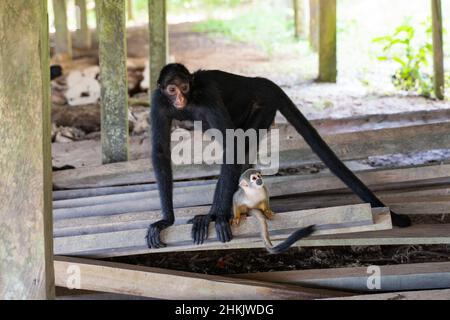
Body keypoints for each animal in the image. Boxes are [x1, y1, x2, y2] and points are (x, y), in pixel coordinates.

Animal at [147, 62, 412, 248]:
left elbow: (232, 147)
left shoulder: (208, 96)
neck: (190, 101)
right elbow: (160, 152)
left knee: (239, 146)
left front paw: (217, 217)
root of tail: (260, 82)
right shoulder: (158, 101)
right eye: (172, 89)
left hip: (263, 105)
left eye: (184, 87)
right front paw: (166, 220)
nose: (180, 97)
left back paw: (214, 215)